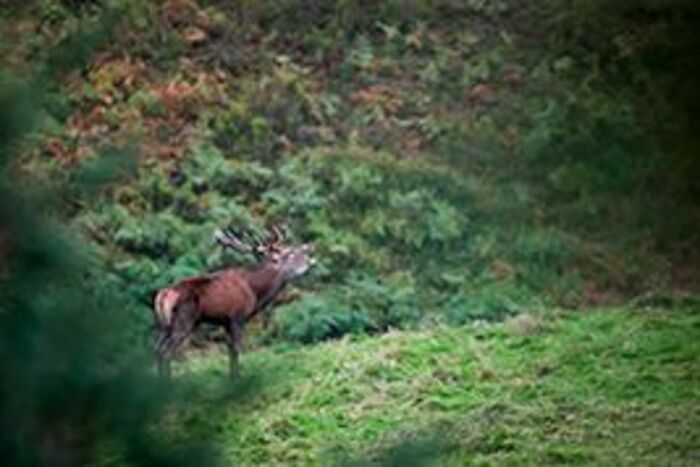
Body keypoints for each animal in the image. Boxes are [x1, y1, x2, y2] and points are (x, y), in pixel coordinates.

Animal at [153, 224, 315, 379]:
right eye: (290, 254)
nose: (309, 259)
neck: (255, 292)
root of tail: (163, 294)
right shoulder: (238, 317)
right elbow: (237, 348)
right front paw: (238, 378)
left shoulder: (226, 322)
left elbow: (230, 349)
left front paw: (231, 378)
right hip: (184, 320)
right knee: (166, 352)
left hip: (164, 325)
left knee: (157, 349)